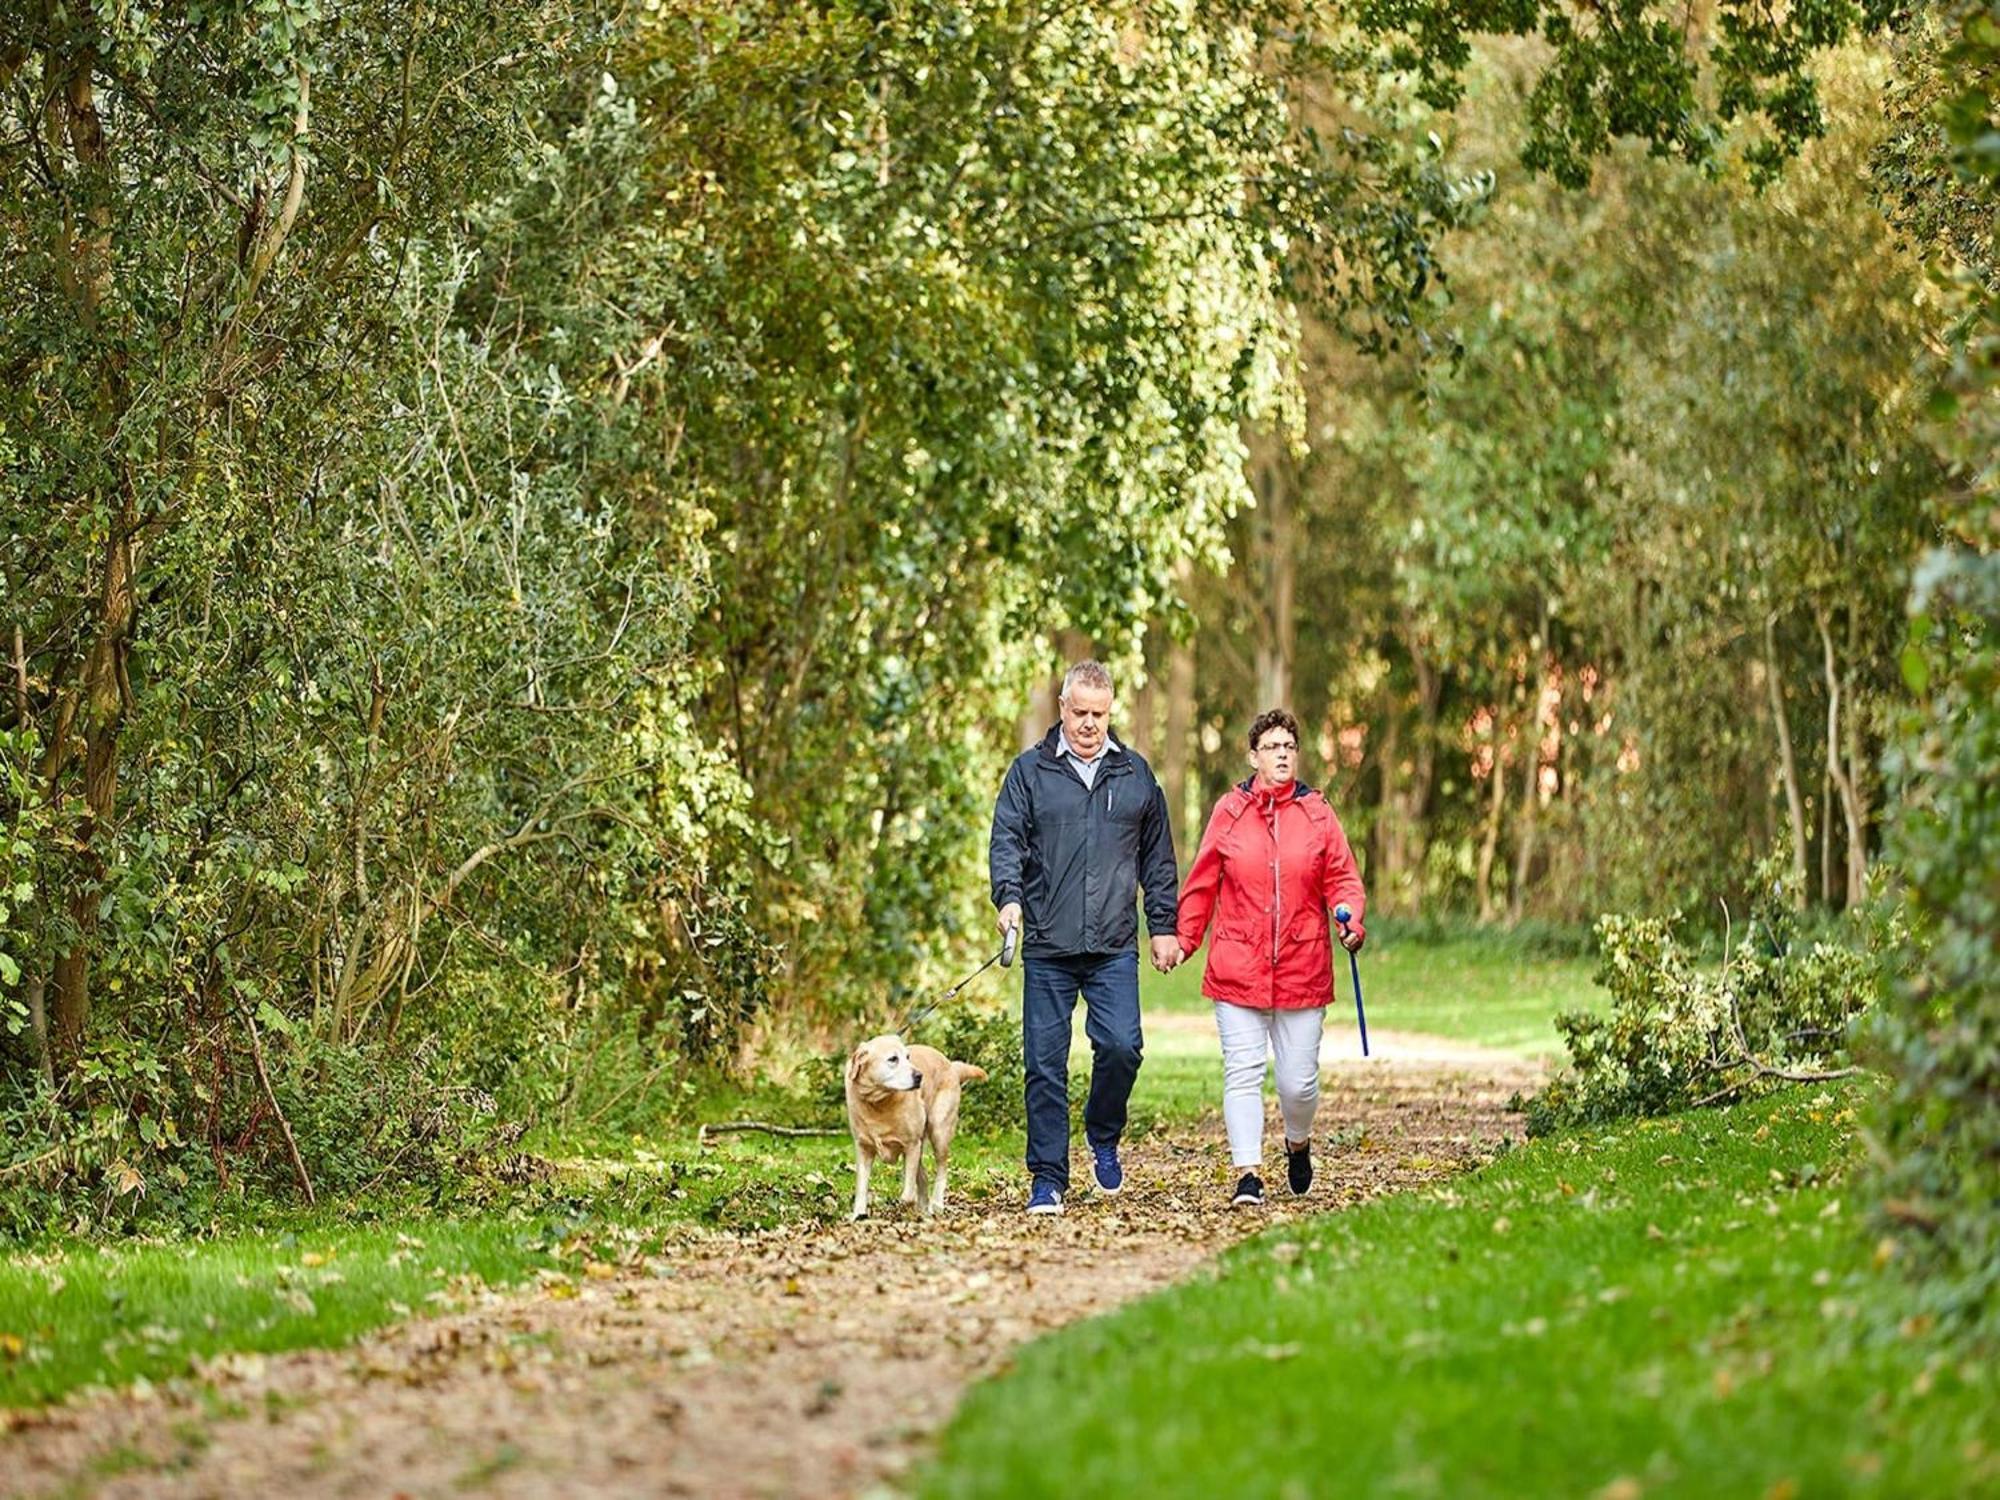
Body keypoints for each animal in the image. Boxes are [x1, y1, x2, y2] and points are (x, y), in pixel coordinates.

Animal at [848, 1032, 988, 1224]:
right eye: (893, 1059)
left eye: (908, 1057)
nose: (919, 1076)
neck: (878, 1103)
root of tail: (951, 1066)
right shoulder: (864, 1148)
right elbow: (861, 1187)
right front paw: (858, 1214)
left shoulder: (912, 1145)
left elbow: (907, 1195)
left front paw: (905, 1207)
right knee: (923, 1176)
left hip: (939, 1131)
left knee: (941, 1169)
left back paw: (936, 1204)